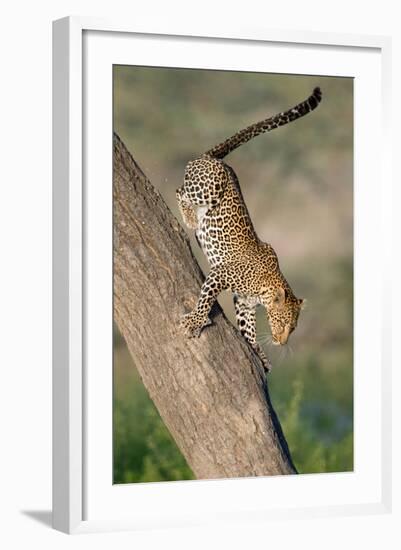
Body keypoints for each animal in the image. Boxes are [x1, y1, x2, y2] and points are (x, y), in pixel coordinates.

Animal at [176, 88, 322, 374]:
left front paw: (260, 355)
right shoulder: (220, 275)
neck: (266, 286)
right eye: (284, 322)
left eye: (293, 328)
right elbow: (205, 300)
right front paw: (195, 322)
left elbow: (249, 331)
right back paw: (189, 217)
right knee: (180, 191)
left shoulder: (243, 303)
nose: (281, 342)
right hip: (210, 186)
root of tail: (212, 158)